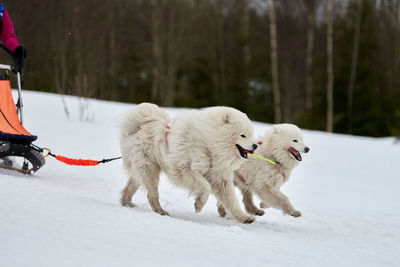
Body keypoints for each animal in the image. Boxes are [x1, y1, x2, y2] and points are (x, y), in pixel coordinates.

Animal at [119, 102, 258, 224]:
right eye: (243, 135)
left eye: (251, 135)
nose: (256, 145)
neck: (209, 142)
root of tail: (139, 125)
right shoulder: (184, 169)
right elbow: (205, 186)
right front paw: (198, 205)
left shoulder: (220, 178)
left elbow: (232, 201)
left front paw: (245, 218)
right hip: (149, 169)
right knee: (152, 195)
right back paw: (161, 211)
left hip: (144, 169)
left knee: (132, 186)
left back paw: (126, 203)